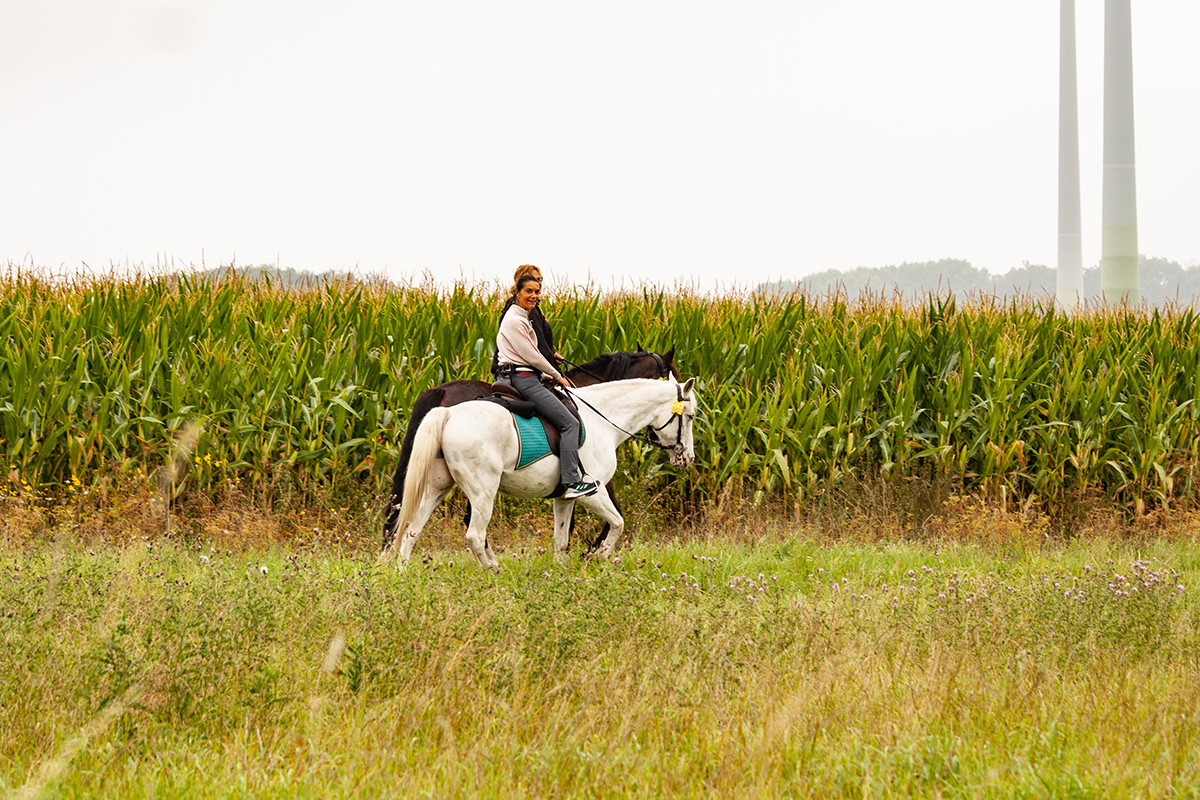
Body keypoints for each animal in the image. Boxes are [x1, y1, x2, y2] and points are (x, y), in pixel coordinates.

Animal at [384, 379, 700, 573]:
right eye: (691, 416)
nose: (688, 458)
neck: (603, 420)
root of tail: (448, 413)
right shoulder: (594, 493)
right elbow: (618, 523)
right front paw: (598, 557)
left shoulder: (565, 497)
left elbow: (561, 538)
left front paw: (563, 571)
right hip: (482, 492)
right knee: (474, 535)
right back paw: (494, 571)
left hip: (437, 488)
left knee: (411, 527)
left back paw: (403, 572)